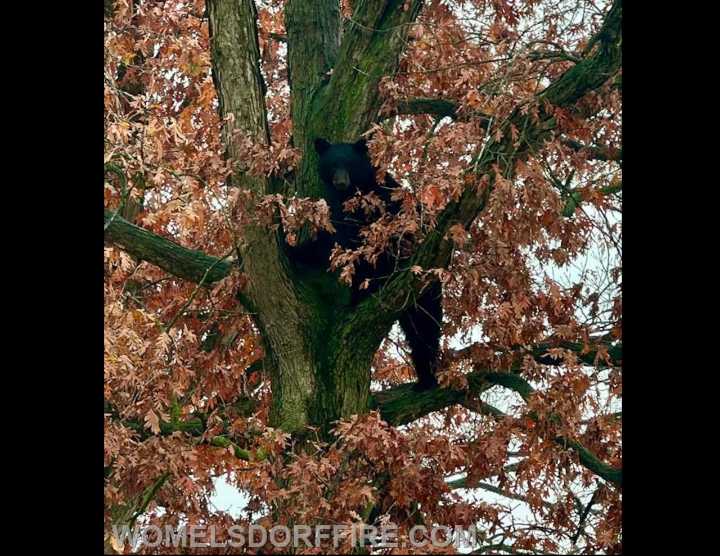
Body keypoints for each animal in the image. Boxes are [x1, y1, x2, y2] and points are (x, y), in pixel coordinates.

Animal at [286, 137, 442, 391]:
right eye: (333, 164)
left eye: (349, 164)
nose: (340, 182)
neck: (351, 194)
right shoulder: (338, 211)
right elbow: (331, 240)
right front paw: (295, 248)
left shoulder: (378, 205)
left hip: (423, 284)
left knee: (426, 326)